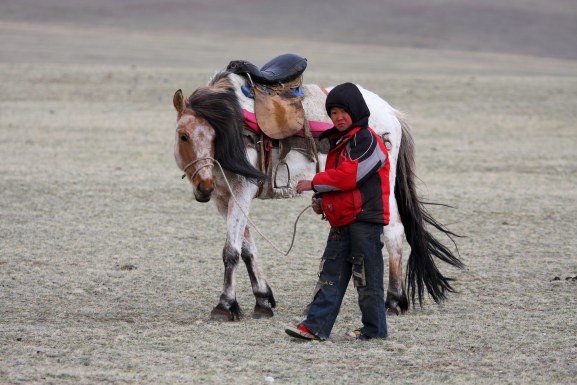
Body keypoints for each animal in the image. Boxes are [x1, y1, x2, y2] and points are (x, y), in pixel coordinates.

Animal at [172, 70, 464, 320]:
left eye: (213, 135)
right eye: (183, 135)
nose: (204, 186)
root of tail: (392, 113)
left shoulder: (243, 189)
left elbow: (231, 250)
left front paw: (224, 306)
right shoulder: (224, 197)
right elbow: (247, 249)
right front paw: (263, 301)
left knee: (392, 231)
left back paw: (393, 301)